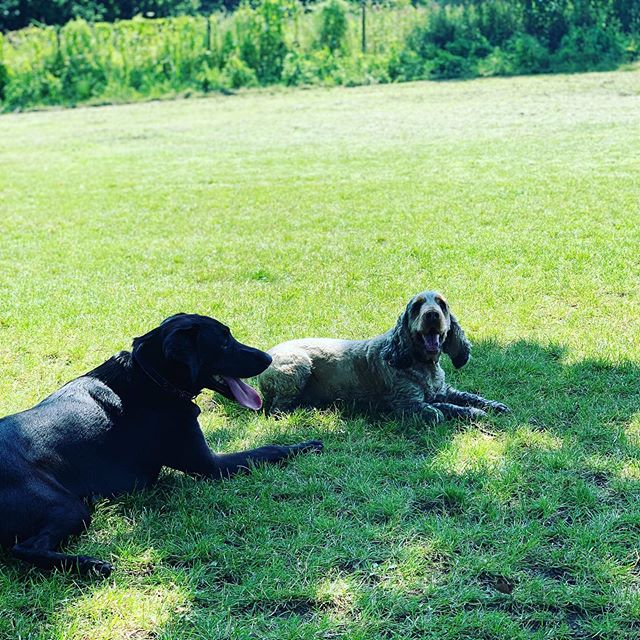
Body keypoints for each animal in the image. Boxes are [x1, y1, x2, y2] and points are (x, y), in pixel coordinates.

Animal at [0, 314, 322, 576]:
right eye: (224, 342)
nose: (268, 359)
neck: (151, 378)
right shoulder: (209, 465)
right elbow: (268, 449)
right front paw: (306, 444)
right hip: (67, 505)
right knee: (24, 548)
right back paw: (90, 565)